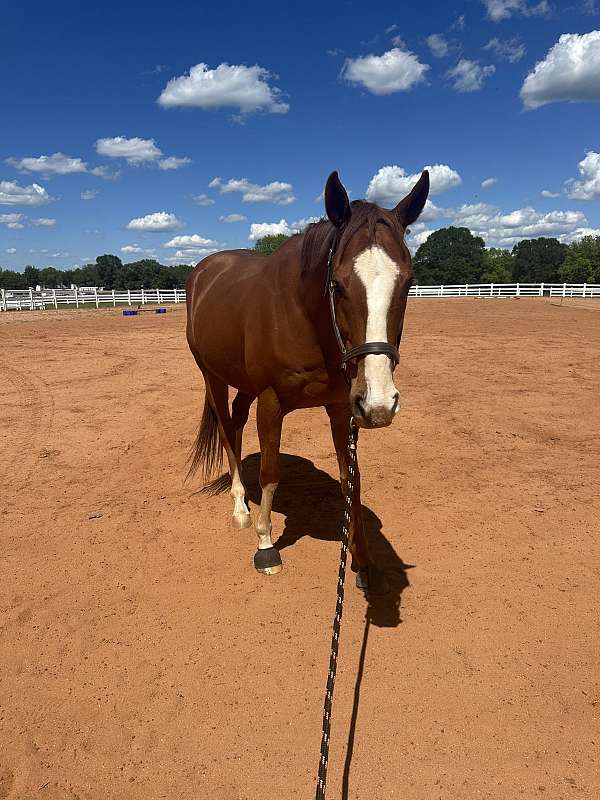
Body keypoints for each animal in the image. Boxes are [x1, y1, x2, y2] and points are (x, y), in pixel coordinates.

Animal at [185, 169, 428, 592]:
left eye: (408, 283)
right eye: (337, 285)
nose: (380, 404)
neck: (305, 317)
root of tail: (204, 271)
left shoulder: (341, 408)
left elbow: (351, 481)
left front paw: (362, 560)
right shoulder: (271, 402)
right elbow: (270, 473)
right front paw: (266, 545)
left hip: (243, 385)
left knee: (235, 422)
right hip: (212, 375)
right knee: (228, 432)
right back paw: (239, 507)